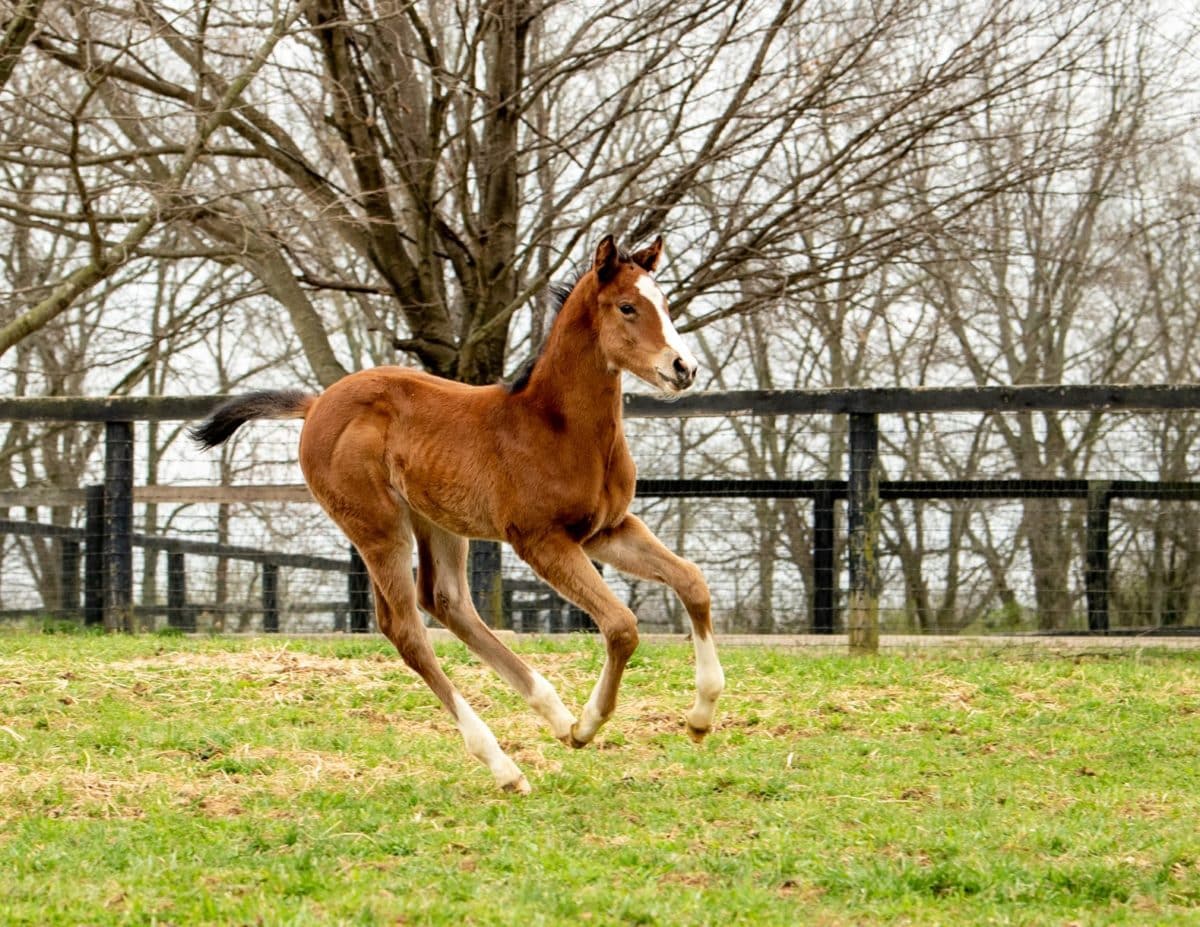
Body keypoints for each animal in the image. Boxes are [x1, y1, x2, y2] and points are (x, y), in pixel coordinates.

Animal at [193, 237, 724, 787]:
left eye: (664, 303)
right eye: (627, 307)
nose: (683, 368)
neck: (557, 427)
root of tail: (316, 404)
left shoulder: (608, 529)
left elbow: (692, 582)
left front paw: (699, 718)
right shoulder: (541, 541)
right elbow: (621, 625)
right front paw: (588, 724)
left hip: (437, 521)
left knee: (445, 600)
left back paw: (550, 713)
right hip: (379, 529)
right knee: (406, 629)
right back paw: (506, 762)